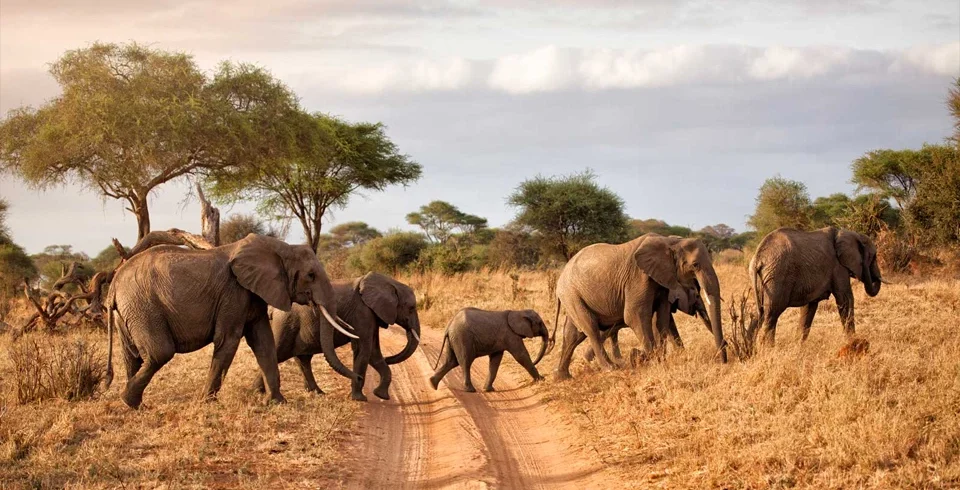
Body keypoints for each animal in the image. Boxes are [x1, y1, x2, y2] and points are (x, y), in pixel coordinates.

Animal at [104, 234, 360, 409]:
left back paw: (135, 405)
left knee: (132, 356)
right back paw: (128, 400)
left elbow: (264, 343)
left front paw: (277, 402)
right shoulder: (233, 292)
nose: (358, 378)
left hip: (129, 312)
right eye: (311, 276)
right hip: (144, 307)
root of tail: (114, 284)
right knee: (160, 353)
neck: (279, 248)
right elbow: (228, 340)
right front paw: (206, 402)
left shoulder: (254, 293)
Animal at [259, 272, 421, 401]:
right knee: (278, 353)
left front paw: (381, 395)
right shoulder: (362, 313)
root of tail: (272, 308)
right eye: (411, 308)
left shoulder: (372, 315)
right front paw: (360, 399)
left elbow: (374, 353)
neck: (390, 282)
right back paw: (261, 393)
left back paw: (316, 393)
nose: (359, 378)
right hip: (286, 323)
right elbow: (364, 350)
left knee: (303, 359)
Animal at [552, 233, 727, 380]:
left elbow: (662, 319)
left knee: (573, 334)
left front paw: (657, 358)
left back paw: (562, 377)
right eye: (695, 265)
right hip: (571, 294)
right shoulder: (638, 277)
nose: (724, 360)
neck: (670, 241)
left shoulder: (663, 281)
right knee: (591, 328)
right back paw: (611, 368)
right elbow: (634, 316)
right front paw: (645, 358)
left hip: (573, 296)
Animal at [749, 227, 884, 345]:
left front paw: (798, 346)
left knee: (758, 314)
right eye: (873, 257)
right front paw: (854, 342)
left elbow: (809, 307)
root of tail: (758, 258)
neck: (847, 232)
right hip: (777, 275)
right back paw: (768, 349)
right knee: (771, 313)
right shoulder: (838, 267)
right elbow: (845, 299)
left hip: (763, 281)